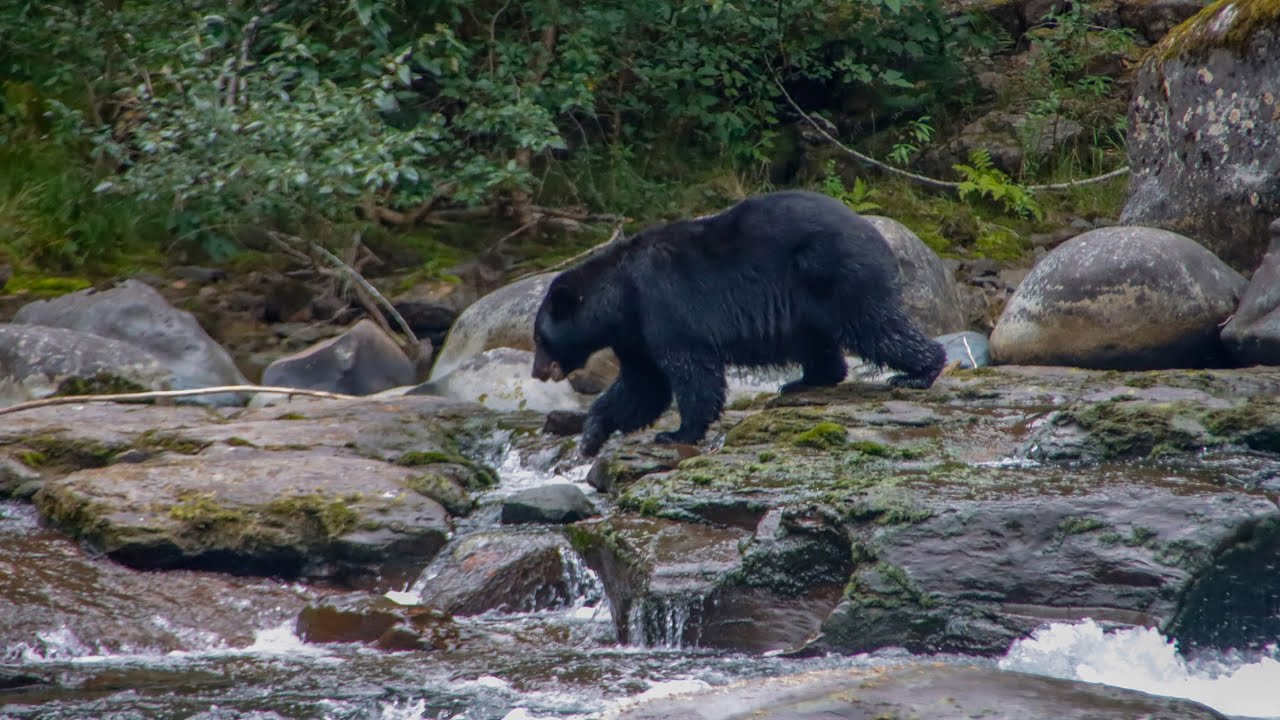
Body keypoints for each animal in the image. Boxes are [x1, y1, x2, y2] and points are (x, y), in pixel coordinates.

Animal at [531, 190, 947, 457]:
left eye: (540, 339)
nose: (536, 372)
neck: (621, 296)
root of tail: (878, 235)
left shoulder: (663, 306)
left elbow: (691, 372)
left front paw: (677, 432)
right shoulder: (634, 335)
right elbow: (642, 385)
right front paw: (592, 435)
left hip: (839, 274)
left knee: (875, 327)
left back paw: (919, 372)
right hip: (810, 304)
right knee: (822, 342)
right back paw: (806, 380)